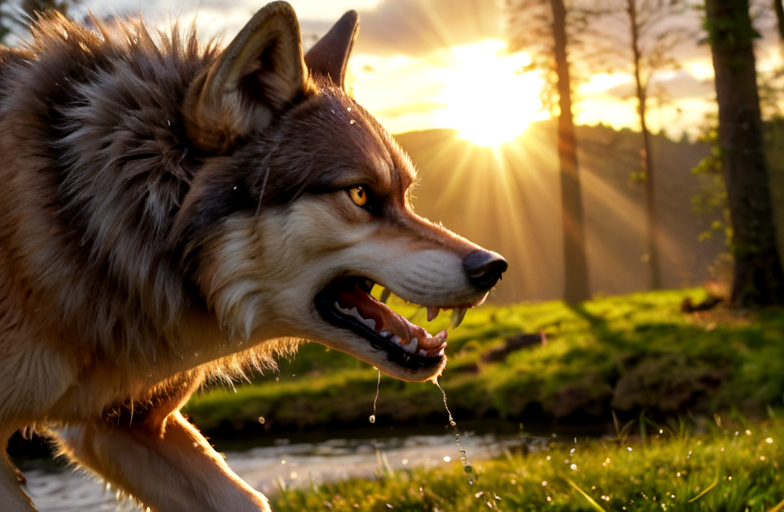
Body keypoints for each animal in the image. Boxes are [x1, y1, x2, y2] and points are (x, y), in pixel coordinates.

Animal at [0, 2, 507, 510]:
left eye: (405, 195)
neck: (90, 225)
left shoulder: (122, 424)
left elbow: (249, 500)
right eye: (361, 194)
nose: (493, 267)